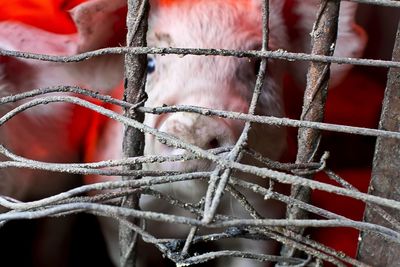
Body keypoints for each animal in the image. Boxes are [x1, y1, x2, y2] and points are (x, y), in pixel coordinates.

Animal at [0, 0, 366, 266]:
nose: (195, 124)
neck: (184, 218)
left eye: (257, 67)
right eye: (149, 64)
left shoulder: (262, 228)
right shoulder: (114, 211)